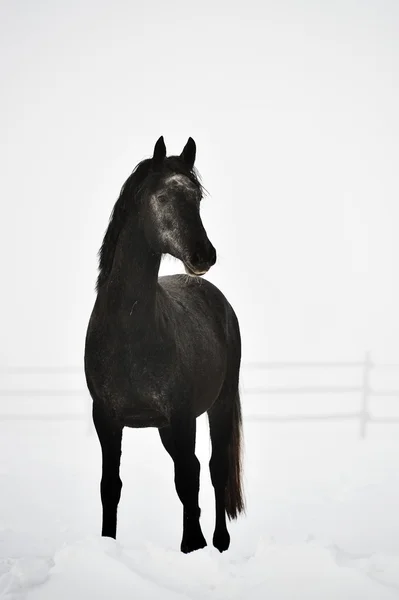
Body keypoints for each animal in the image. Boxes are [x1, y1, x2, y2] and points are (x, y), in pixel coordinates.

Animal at [85, 136, 244, 552]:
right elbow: (110, 486)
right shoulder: (106, 419)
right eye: (161, 197)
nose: (204, 255)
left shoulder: (181, 417)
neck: (130, 334)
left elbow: (187, 481)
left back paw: (220, 540)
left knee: (214, 469)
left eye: (197, 198)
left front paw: (194, 546)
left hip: (218, 406)